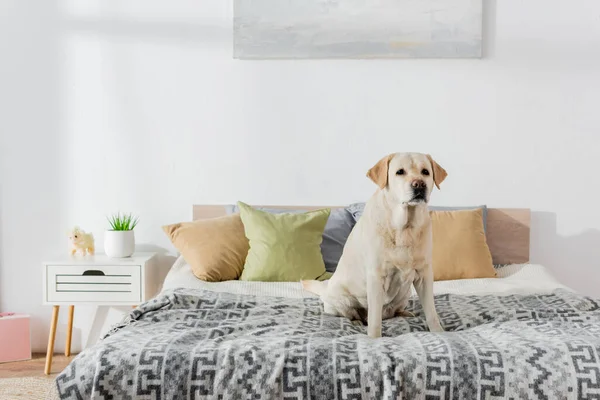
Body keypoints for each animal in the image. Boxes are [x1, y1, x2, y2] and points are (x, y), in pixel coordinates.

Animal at [302, 153, 448, 338]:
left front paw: (439, 332)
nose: (419, 184)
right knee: (355, 314)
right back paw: (356, 321)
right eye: (400, 172)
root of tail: (325, 288)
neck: (405, 228)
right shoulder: (377, 276)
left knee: (393, 312)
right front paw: (374, 338)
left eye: (425, 172)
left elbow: (431, 312)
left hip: (405, 293)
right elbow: (374, 318)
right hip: (340, 299)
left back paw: (406, 313)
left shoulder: (424, 274)